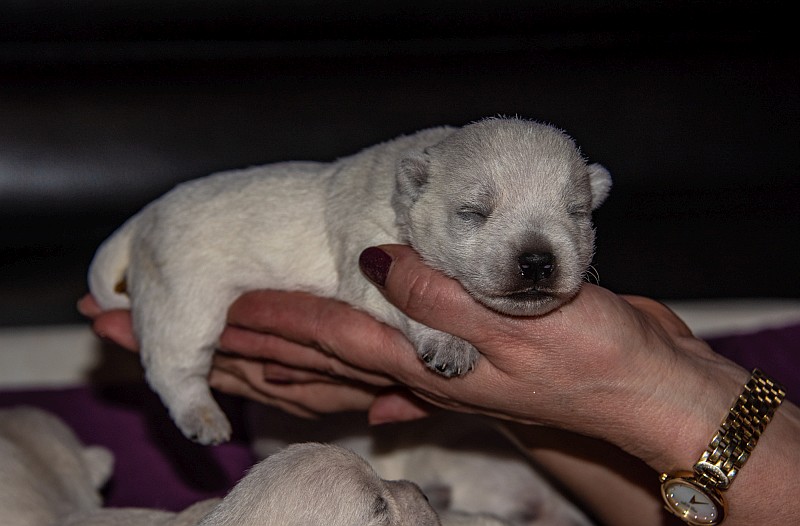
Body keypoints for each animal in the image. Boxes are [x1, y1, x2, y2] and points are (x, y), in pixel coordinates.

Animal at [89, 116, 612, 446]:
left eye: (576, 211)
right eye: (473, 212)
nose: (538, 262)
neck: (403, 189)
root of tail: (144, 218)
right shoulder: (367, 258)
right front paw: (449, 344)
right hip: (185, 295)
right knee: (172, 365)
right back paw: (203, 417)